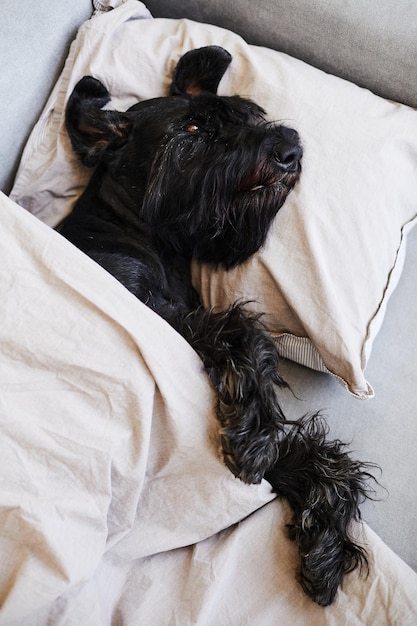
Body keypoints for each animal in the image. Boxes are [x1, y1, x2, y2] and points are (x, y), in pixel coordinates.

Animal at [59, 46, 374, 604]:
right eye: (191, 129)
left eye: (248, 116)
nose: (289, 148)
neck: (143, 233)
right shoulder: (157, 312)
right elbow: (245, 333)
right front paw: (254, 433)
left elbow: (303, 453)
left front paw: (327, 543)